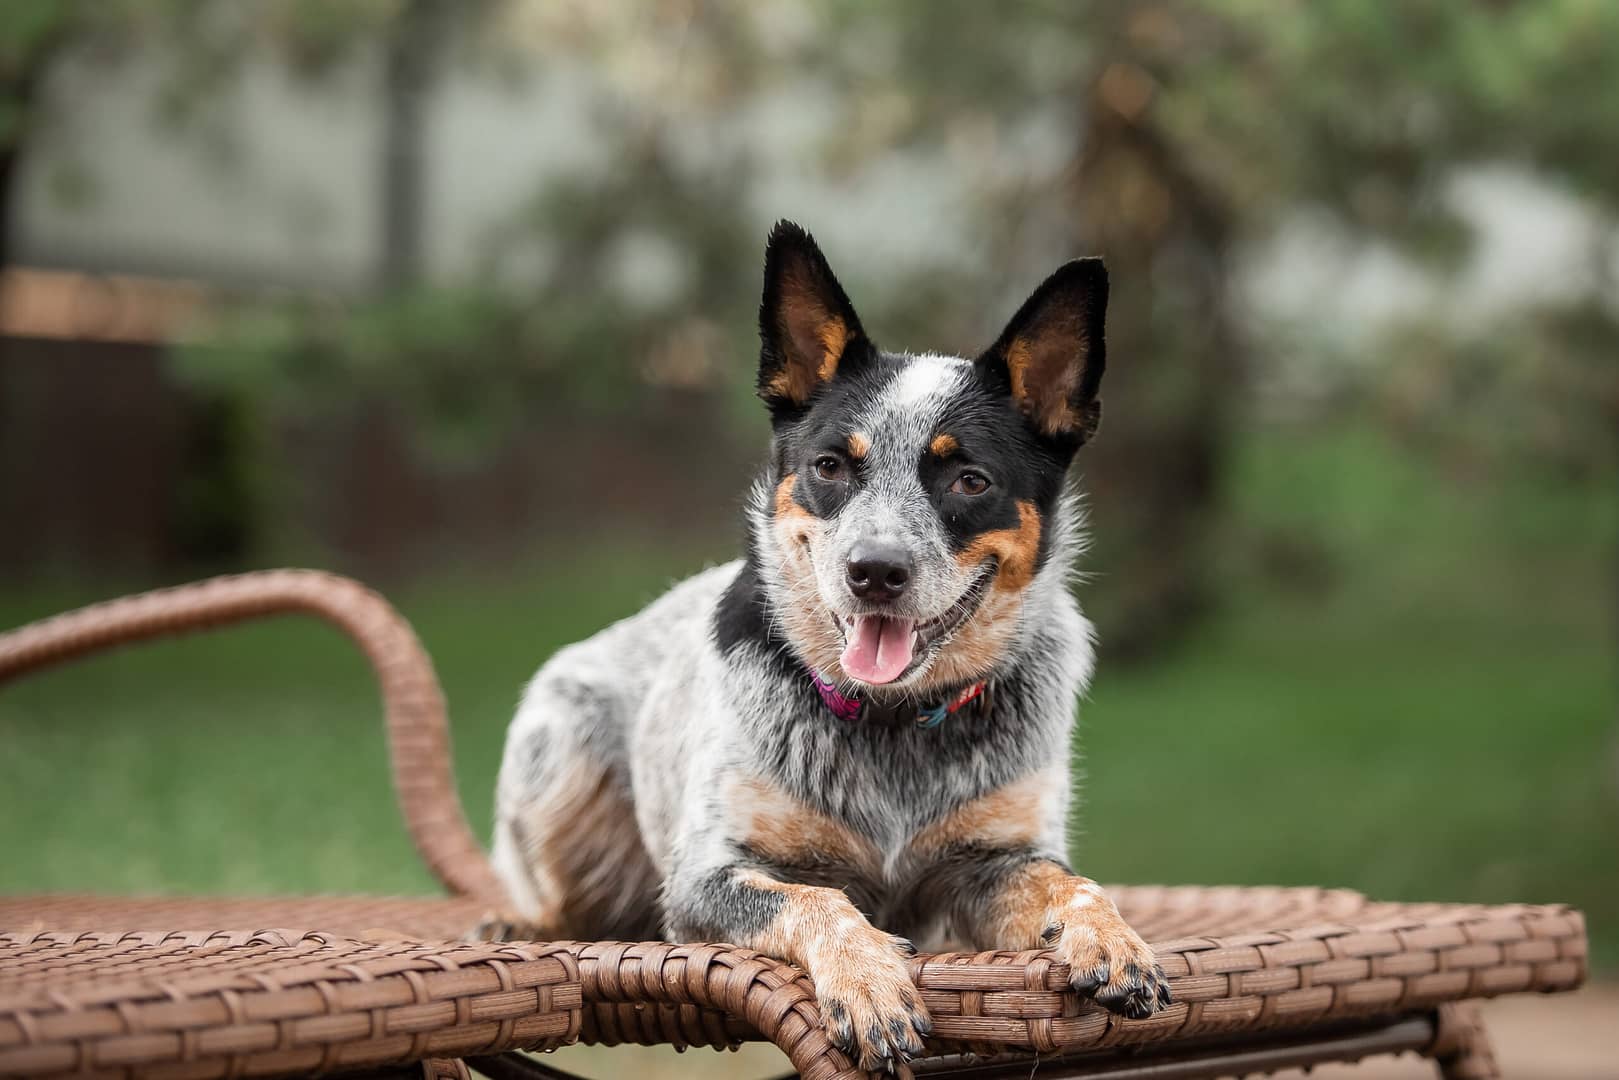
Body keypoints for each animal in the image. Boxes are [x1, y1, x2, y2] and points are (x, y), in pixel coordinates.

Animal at [485, 221, 1172, 1075]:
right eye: (830, 466)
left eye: (970, 480)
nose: (874, 570)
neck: (891, 724)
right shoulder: (705, 875)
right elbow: (820, 898)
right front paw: (870, 983)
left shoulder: (994, 862)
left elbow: (1072, 884)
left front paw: (1111, 938)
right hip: (561, 748)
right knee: (560, 902)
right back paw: (516, 925)